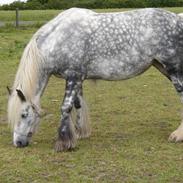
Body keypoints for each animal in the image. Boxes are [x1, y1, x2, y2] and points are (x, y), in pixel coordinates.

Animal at [7, 7, 183, 152]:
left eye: (23, 114)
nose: (18, 143)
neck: (57, 39)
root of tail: (178, 19)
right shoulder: (77, 78)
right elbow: (77, 104)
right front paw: (79, 133)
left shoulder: (73, 76)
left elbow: (65, 107)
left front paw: (63, 143)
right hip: (162, 67)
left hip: (174, 71)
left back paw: (177, 135)